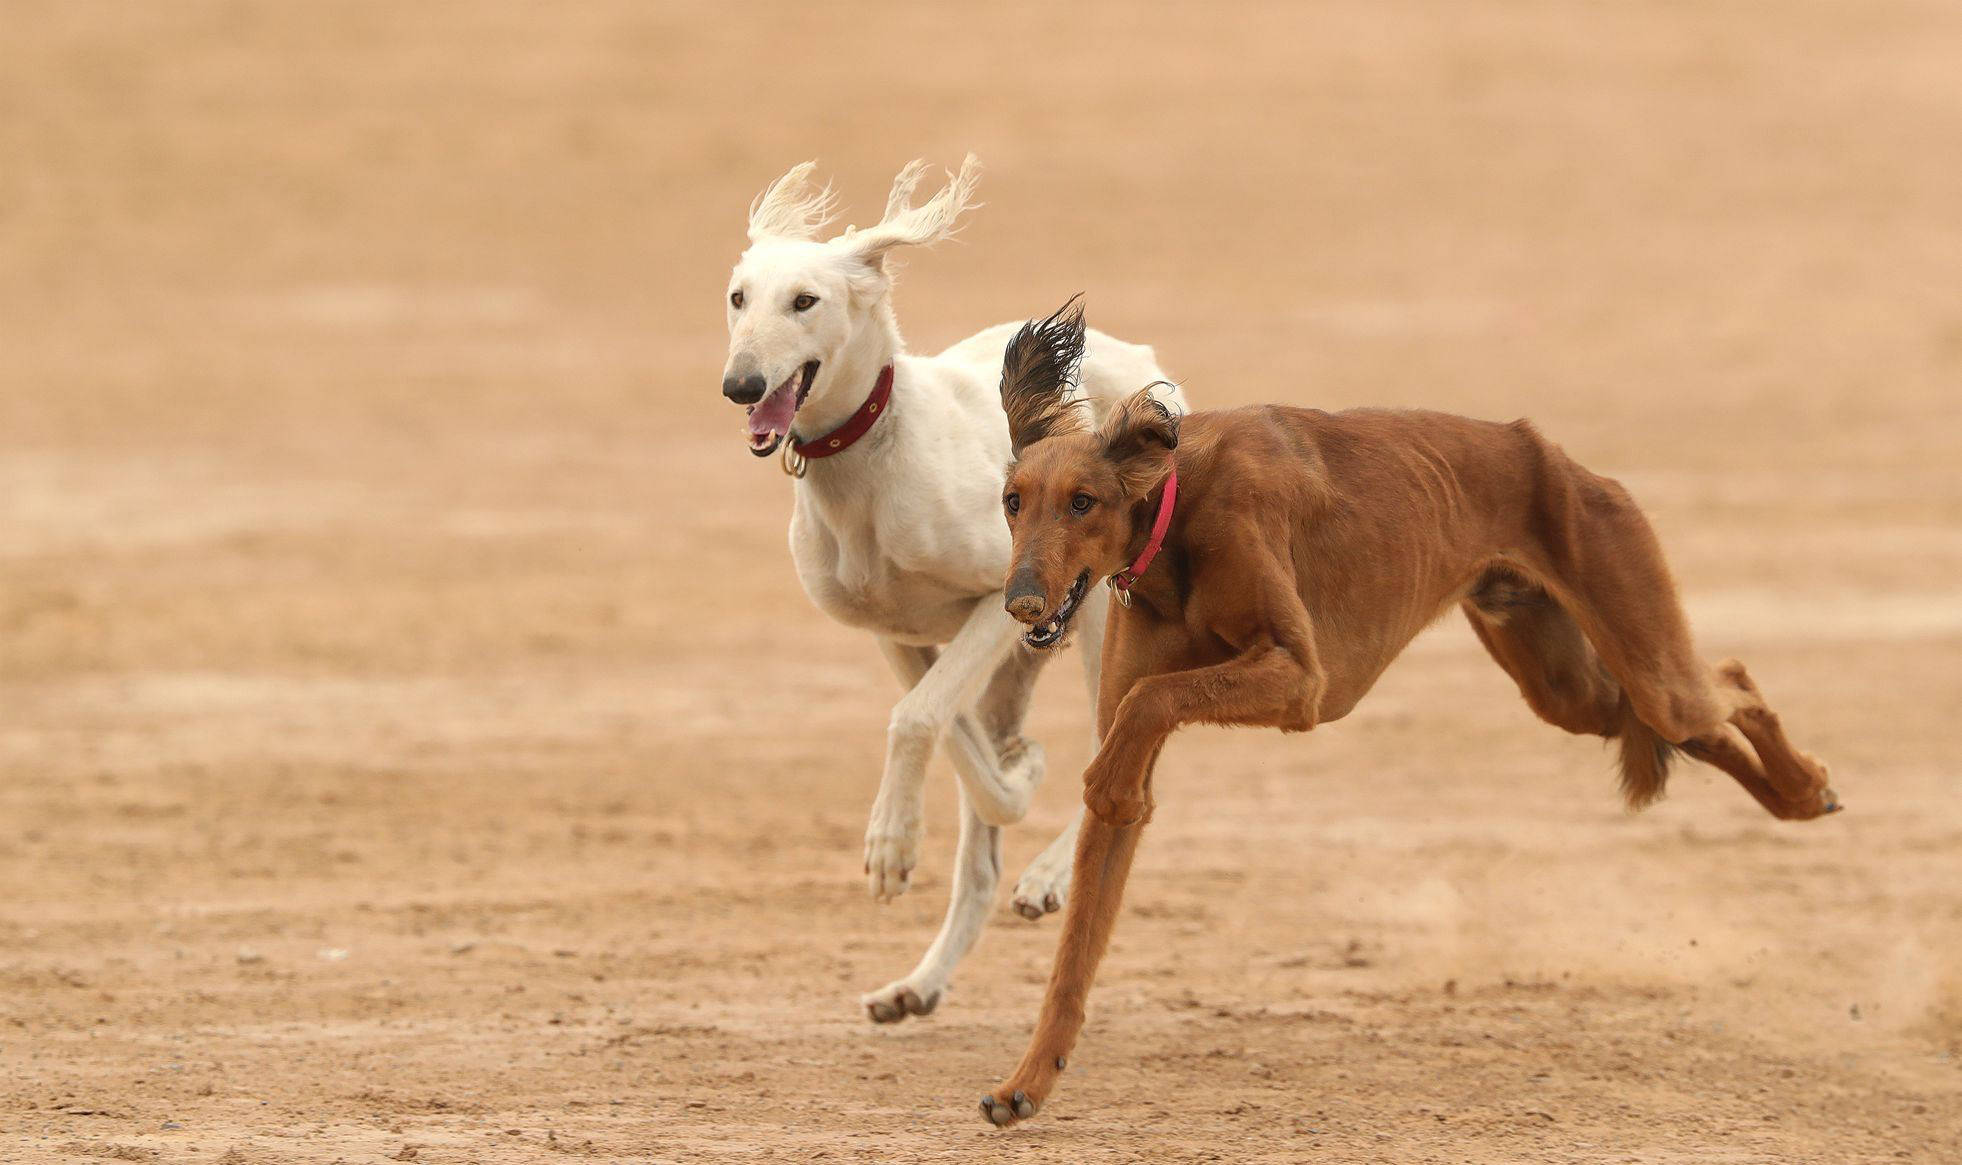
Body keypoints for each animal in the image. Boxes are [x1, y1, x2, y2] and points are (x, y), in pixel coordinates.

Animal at [718, 156, 1177, 1019]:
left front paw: (891, 847)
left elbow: (916, 719)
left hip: (1105, 616)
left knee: (1124, 760)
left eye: (805, 300)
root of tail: (1141, 361)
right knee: (984, 858)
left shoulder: (1002, 599)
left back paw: (1048, 876)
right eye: (737, 297)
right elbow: (951, 738)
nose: (741, 383)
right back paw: (920, 980)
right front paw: (1012, 773)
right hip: (1021, 664)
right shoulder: (896, 634)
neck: (869, 461)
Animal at [977, 302, 1836, 1121]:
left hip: (1642, 650)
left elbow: (1150, 704)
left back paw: (1806, 786)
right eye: (1013, 501)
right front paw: (1027, 1083)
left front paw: (1108, 777)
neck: (1174, 515)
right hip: (1567, 685)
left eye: (1083, 501)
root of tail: (1549, 453)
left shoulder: (1300, 678)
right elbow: (1075, 955)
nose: (1022, 603)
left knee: (1729, 682)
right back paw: (1795, 794)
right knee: (1691, 718)